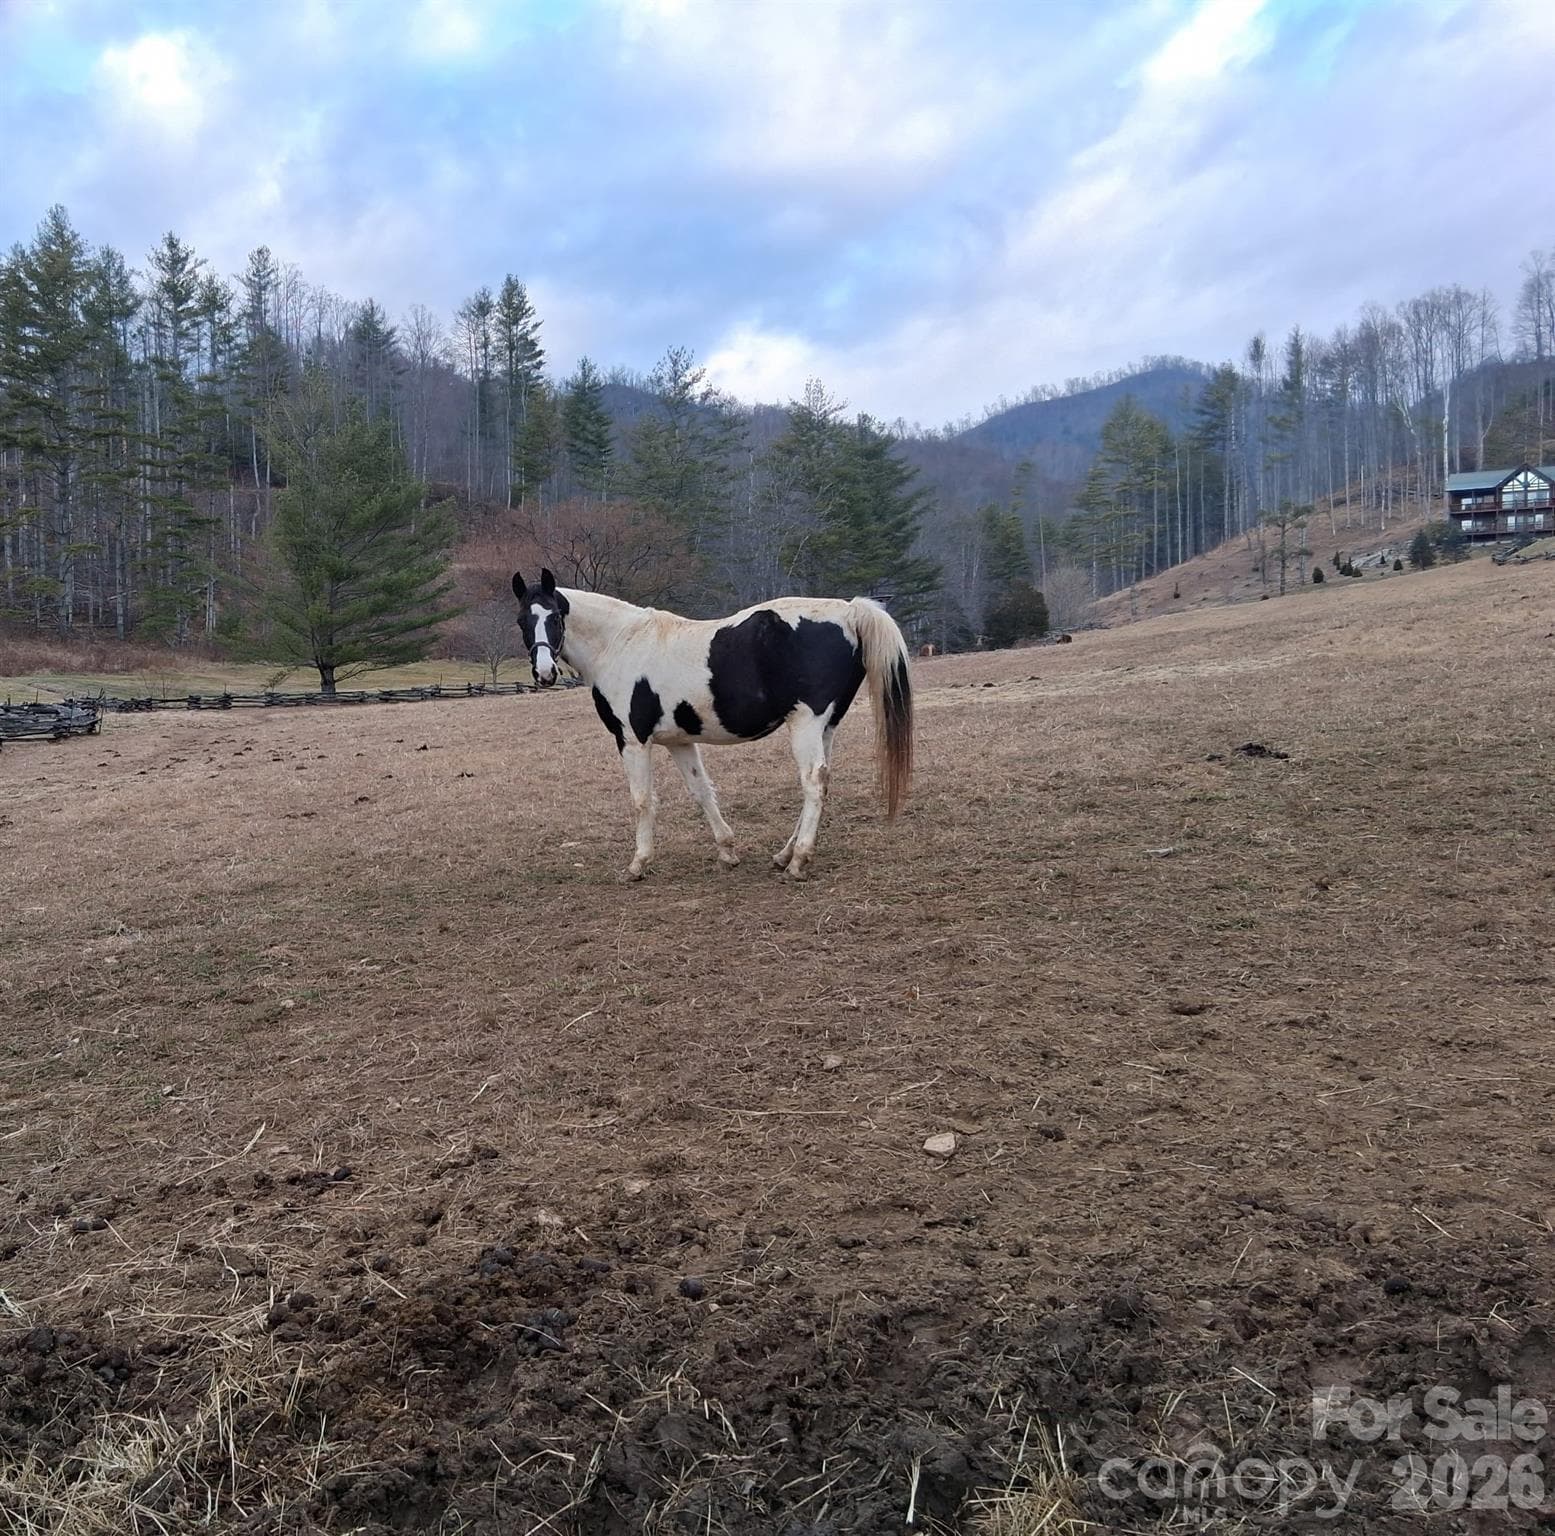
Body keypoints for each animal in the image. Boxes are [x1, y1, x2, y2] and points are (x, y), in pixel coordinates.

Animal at [512, 569, 913, 880]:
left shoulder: (632, 740)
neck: (619, 643)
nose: (544, 673)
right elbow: (701, 791)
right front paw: (727, 851)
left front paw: (638, 864)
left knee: (813, 783)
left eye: (554, 618)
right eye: (521, 621)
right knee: (820, 783)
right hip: (825, 726)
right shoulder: (678, 741)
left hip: (806, 723)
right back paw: (784, 855)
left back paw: (798, 862)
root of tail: (850, 611)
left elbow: (642, 800)